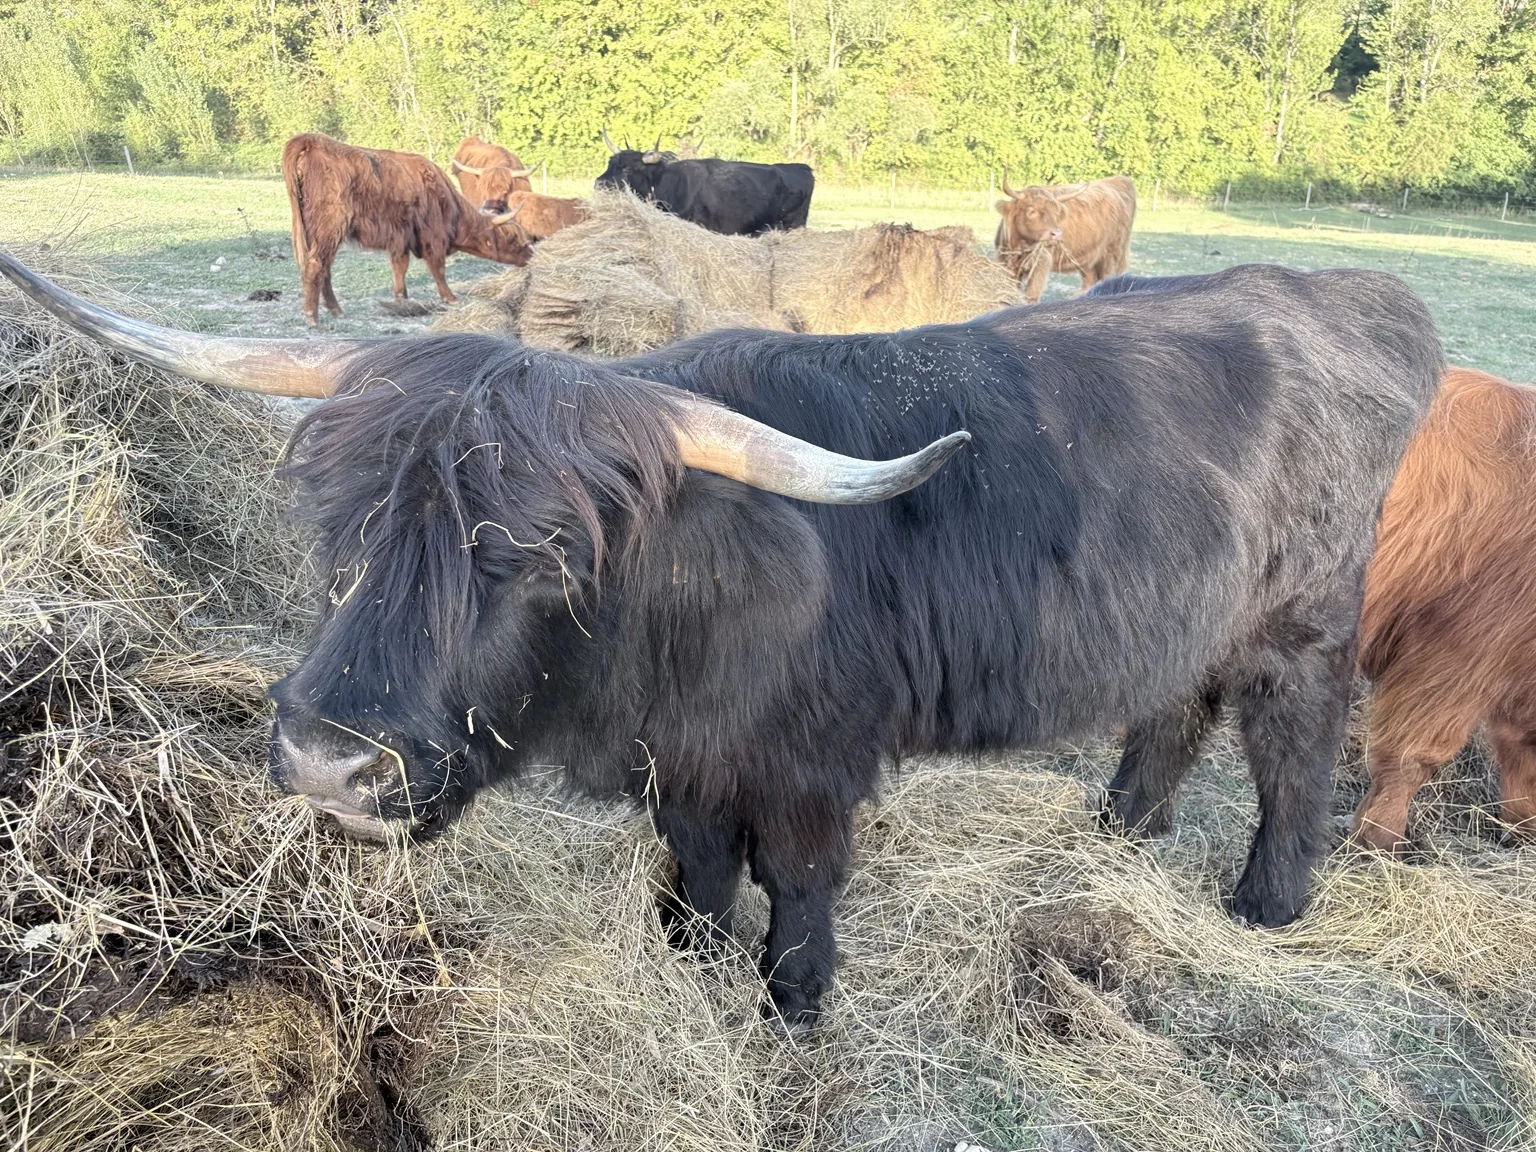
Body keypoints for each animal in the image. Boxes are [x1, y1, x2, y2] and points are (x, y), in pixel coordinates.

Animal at [0, 253, 1442, 1036]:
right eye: (345, 524)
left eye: (541, 558)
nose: (324, 763)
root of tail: (1349, 296)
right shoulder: (684, 762)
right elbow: (696, 864)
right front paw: (690, 952)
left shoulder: (809, 767)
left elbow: (798, 884)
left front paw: (790, 1000)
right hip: (1190, 611)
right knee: (1175, 709)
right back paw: (1118, 832)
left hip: (1305, 618)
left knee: (1293, 745)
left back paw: (1268, 901)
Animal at [282, 133, 533, 327]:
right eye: (514, 237)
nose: (531, 255)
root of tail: (313, 140)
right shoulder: (433, 237)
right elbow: (437, 268)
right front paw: (450, 297)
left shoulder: (400, 238)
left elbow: (399, 266)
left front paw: (401, 298)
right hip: (330, 228)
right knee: (317, 265)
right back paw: (312, 317)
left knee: (325, 268)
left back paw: (336, 310)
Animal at [995, 174, 1136, 303]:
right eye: (1031, 211)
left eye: (1056, 213)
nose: (1057, 234)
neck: (1018, 247)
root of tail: (1118, 179)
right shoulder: (1005, 263)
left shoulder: (1041, 263)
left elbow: (1032, 295)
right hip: (1088, 256)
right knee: (1090, 280)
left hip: (1113, 252)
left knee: (1107, 276)